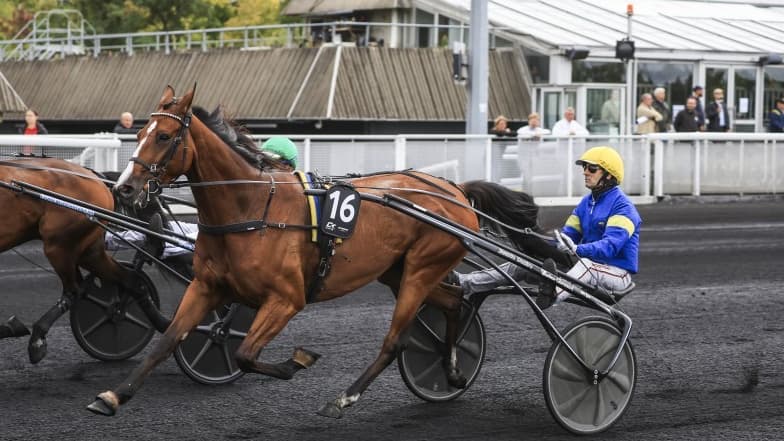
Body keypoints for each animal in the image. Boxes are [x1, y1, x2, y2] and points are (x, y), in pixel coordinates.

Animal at [0, 158, 169, 363]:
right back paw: (162, 322)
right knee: (128, 280)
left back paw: (36, 340)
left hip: (59, 247)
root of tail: (93, 176)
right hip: (87, 251)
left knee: (74, 290)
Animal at [88, 85, 555, 418]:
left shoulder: (286, 298)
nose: (123, 188)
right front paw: (113, 395)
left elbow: (245, 354)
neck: (251, 208)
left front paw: (297, 361)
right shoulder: (207, 286)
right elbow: (167, 339)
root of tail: (454, 189)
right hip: (398, 270)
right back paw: (453, 370)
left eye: (164, 136)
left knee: (395, 341)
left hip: (423, 267)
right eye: (138, 134)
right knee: (456, 301)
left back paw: (345, 398)